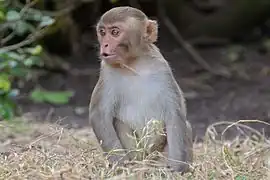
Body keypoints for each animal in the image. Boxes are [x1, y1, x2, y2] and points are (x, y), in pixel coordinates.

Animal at [89, 5, 193, 173]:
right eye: (102, 32)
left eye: (115, 32)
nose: (104, 45)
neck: (135, 63)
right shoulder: (106, 72)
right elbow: (99, 114)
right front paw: (120, 165)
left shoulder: (162, 70)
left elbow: (174, 114)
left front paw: (177, 168)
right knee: (119, 123)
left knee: (187, 126)